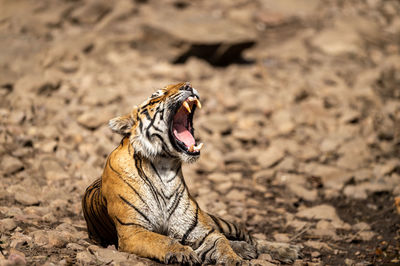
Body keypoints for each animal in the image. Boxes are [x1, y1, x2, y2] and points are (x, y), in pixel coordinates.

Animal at [81, 82, 300, 264]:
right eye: (156, 96)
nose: (187, 85)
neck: (164, 168)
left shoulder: (201, 230)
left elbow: (221, 242)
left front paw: (232, 258)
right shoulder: (132, 230)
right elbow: (163, 240)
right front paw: (183, 252)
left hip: (216, 220)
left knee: (248, 236)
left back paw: (286, 250)